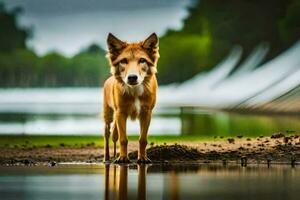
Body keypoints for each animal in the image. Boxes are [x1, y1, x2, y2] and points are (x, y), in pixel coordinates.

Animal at [102, 32, 159, 163]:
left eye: (142, 60)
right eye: (123, 61)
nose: (132, 77)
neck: (135, 91)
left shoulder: (146, 113)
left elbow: (142, 139)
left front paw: (142, 158)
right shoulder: (120, 113)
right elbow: (123, 139)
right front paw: (123, 158)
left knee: (114, 134)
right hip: (109, 115)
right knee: (107, 134)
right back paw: (107, 158)